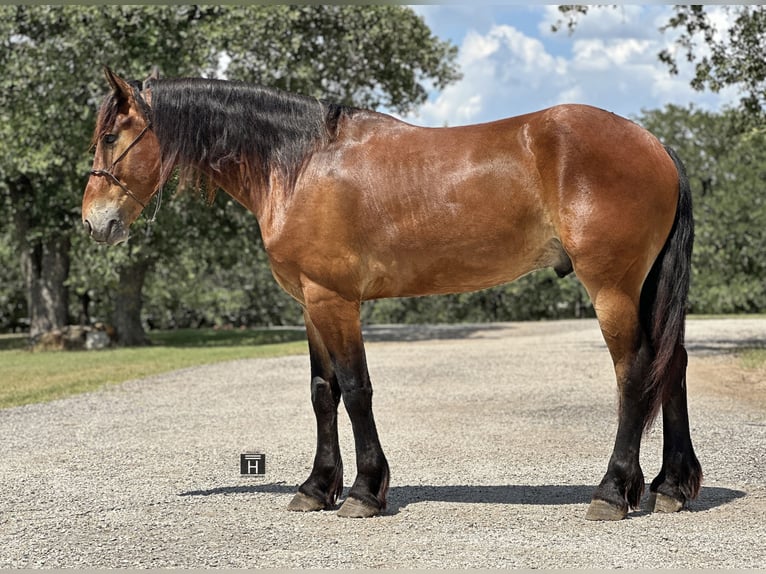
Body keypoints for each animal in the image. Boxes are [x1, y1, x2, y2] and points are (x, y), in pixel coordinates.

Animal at [82, 67, 704, 520]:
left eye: (111, 137)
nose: (94, 222)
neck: (300, 164)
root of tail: (654, 145)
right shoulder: (311, 303)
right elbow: (322, 392)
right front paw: (316, 487)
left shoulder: (335, 300)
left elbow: (356, 391)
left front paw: (363, 491)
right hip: (644, 289)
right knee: (671, 365)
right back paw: (670, 487)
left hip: (613, 289)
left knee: (634, 373)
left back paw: (612, 491)